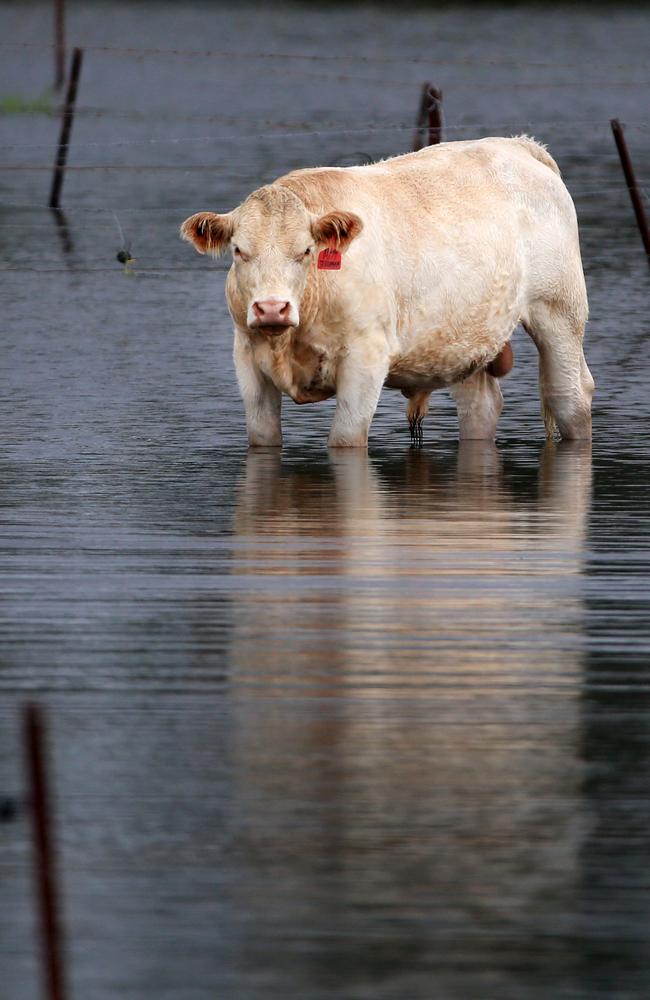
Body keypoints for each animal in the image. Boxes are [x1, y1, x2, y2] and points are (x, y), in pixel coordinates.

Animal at [181, 135, 592, 448]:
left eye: (306, 251)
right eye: (238, 250)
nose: (271, 308)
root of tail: (517, 145)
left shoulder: (366, 358)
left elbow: (345, 440)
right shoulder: (248, 358)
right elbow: (262, 437)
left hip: (559, 312)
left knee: (570, 396)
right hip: (465, 337)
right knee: (482, 405)